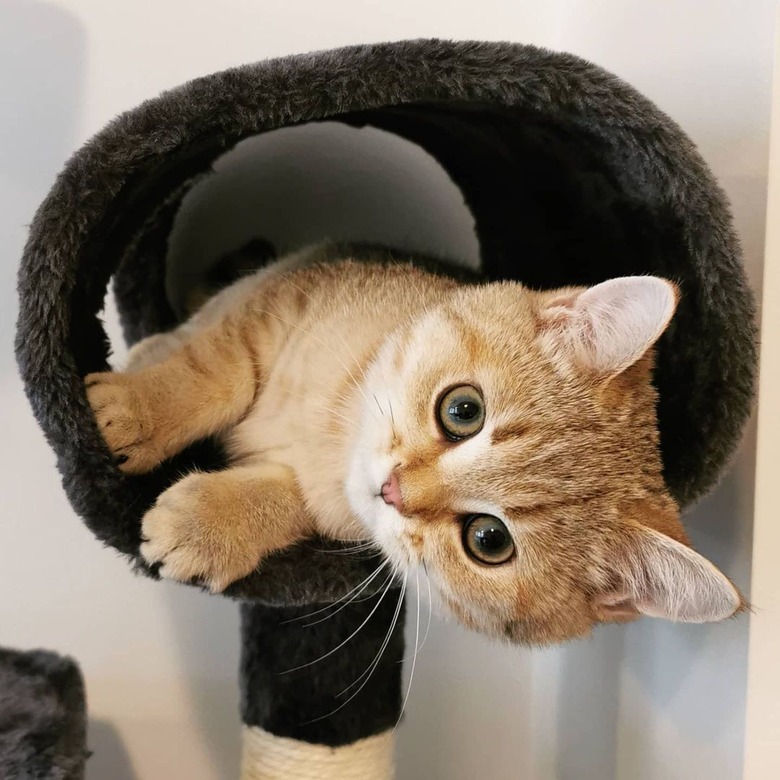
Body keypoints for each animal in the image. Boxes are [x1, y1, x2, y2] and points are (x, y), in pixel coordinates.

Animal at [85, 245, 744, 644]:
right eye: (463, 410)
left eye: (488, 540)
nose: (394, 490)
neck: (333, 427)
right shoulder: (280, 304)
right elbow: (212, 373)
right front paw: (135, 410)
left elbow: (286, 498)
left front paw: (209, 526)